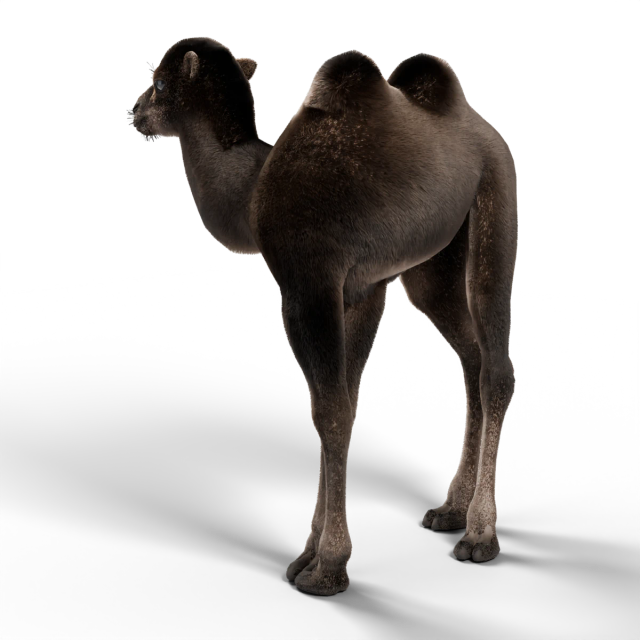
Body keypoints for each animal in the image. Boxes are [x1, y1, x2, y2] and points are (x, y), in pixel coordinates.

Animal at [126, 36, 518, 596]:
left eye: (159, 81)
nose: (135, 113)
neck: (252, 194)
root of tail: (487, 131)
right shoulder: (363, 288)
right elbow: (346, 403)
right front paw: (309, 550)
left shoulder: (307, 287)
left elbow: (328, 410)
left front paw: (329, 564)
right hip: (432, 262)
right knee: (470, 356)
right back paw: (450, 508)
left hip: (495, 198)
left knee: (497, 370)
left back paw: (480, 533)